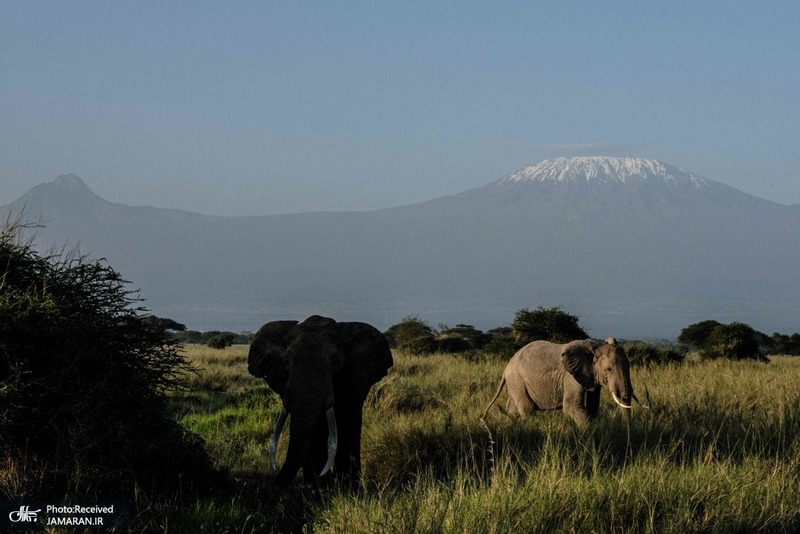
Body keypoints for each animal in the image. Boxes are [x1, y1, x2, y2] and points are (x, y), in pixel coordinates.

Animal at [245, 316, 392, 492]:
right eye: (286, 362)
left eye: (335, 362)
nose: (273, 488)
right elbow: (315, 430)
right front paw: (320, 491)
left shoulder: (356, 377)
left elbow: (347, 423)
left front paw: (348, 491)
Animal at [482, 340, 644, 428]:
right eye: (608, 369)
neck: (596, 348)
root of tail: (506, 368)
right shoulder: (570, 377)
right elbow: (571, 406)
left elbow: (593, 406)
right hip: (517, 380)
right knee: (527, 409)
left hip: (516, 383)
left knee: (513, 410)